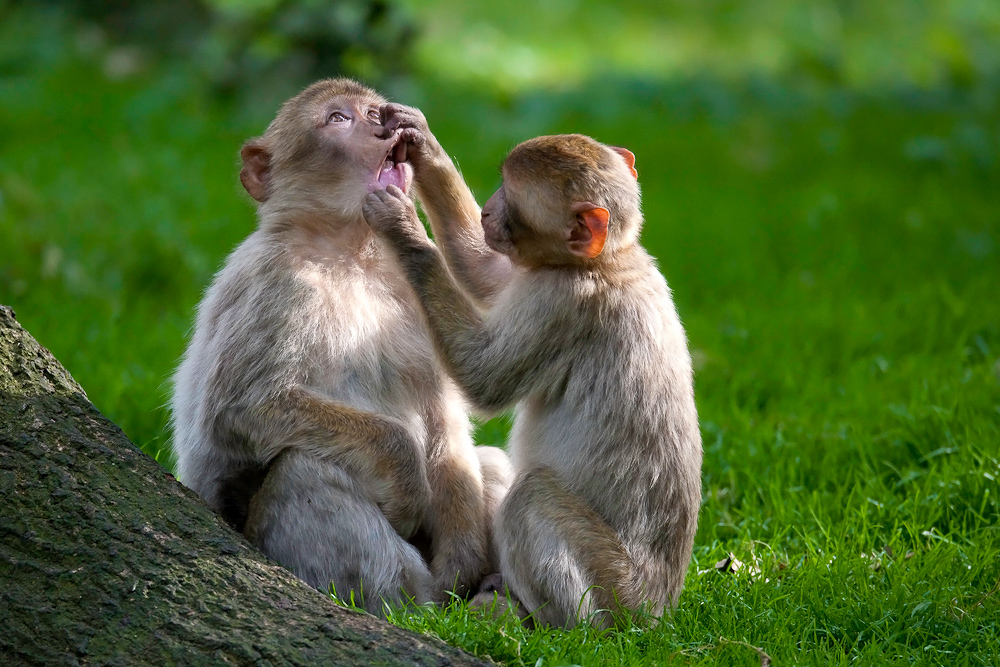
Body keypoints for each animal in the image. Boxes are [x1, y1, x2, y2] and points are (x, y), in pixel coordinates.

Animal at [170, 79, 508, 616]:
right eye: (337, 119)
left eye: (372, 112)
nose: (380, 128)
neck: (352, 252)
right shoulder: (277, 284)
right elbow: (239, 412)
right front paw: (407, 487)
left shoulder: (411, 294)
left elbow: (444, 413)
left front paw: (463, 555)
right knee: (303, 471)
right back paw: (424, 603)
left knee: (487, 462)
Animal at [362, 133, 704, 628]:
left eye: (511, 195)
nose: (487, 212)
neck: (608, 262)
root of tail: (659, 608)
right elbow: (485, 272)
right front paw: (423, 144)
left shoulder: (558, 302)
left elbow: (484, 378)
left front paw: (403, 229)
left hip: (618, 590)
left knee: (532, 496)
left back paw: (541, 620)